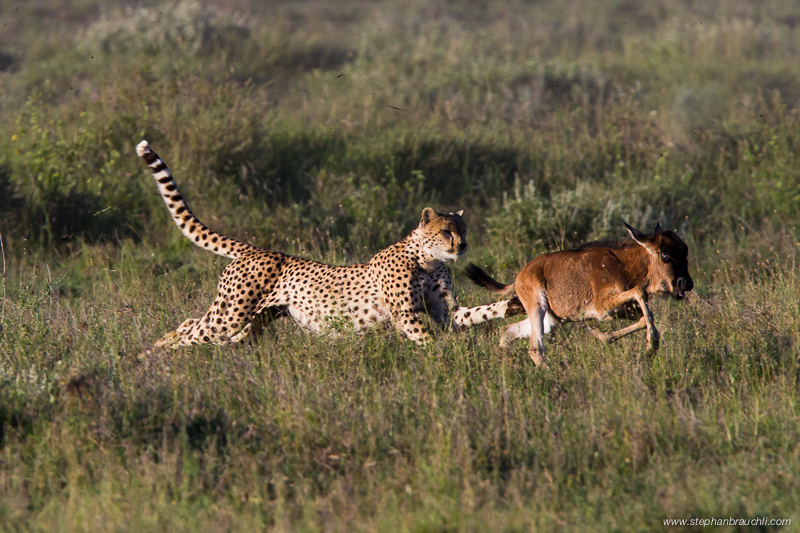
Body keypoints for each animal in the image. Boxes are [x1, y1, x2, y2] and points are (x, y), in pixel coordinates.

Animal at [134, 139, 520, 348]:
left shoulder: (443, 311)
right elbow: (428, 340)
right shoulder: (407, 316)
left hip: (251, 323)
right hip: (230, 314)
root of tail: (259, 249)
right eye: (446, 232)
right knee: (191, 330)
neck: (427, 260)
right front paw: (444, 358)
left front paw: (511, 305)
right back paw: (151, 356)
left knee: (196, 327)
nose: (462, 247)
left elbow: (472, 314)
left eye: (464, 230)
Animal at [466, 221, 692, 366]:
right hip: (537, 306)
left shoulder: (620, 311)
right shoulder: (603, 307)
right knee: (535, 348)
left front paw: (602, 335)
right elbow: (640, 294)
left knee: (507, 331)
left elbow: (645, 317)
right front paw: (651, 347)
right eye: (665, 254)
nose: (686, 283)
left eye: (685, 250)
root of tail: (518, 277)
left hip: (552, 320)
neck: (624, 266)